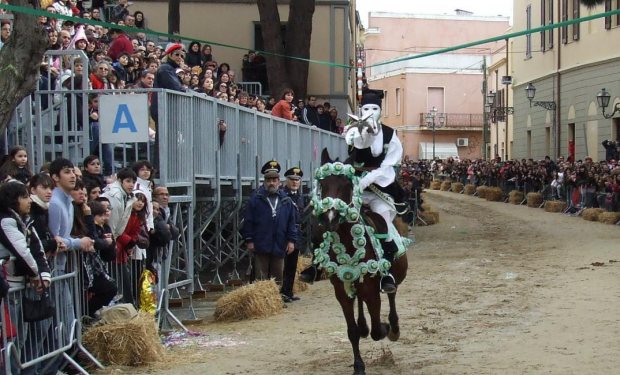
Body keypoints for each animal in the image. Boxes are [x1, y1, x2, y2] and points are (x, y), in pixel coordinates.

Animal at [312, 148, 410, 374]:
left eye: (347, 185)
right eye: (323, 184)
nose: (330, 218)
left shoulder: (372, 291)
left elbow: (377, 330)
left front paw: (385, 327)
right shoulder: (341, 291)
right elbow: (352, 331)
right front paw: (358, 365)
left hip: (393, 275)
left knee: (392, 295)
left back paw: (393, 327)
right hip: (354, 282)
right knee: (359, 305)